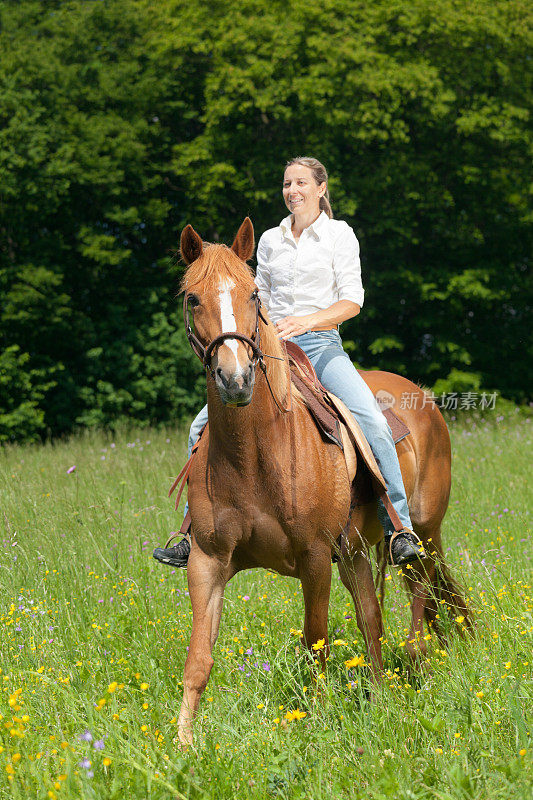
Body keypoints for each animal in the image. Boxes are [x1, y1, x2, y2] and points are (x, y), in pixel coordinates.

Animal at [175, 217, 466, 744]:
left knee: (421, 594)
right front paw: (183, 745)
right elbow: (199, 660)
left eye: (253, 293)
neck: (257, 453)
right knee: (372, 619)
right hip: (353, 552)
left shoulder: (313, 558)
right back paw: (381, 697)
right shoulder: (207, 561)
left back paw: (416, 663)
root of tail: (423, 398)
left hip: (424, 532)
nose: (235, 379)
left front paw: (316, 726)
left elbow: (316, 644)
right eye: (193, 297)